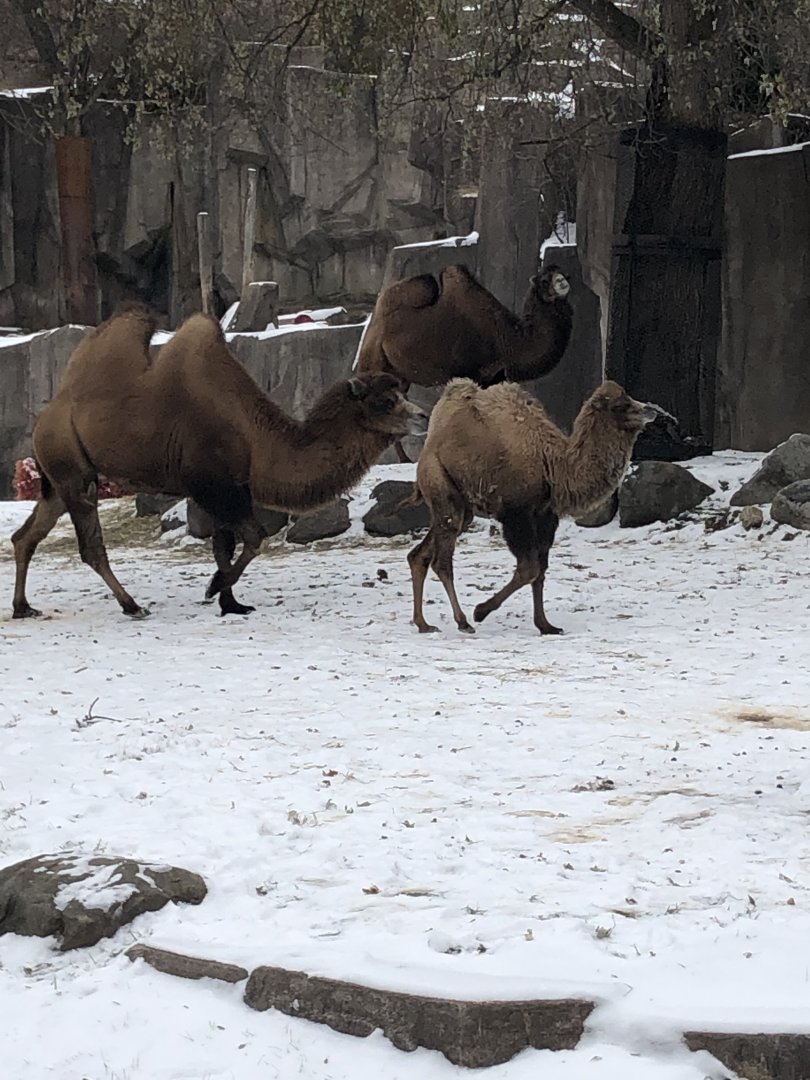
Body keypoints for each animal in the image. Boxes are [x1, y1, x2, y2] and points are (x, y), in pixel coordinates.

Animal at [11, 305, 426, 619]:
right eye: (384, 402)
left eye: (402, 394)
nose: (423, 416)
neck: (254, 435)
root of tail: (46, 417)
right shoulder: (212, 485)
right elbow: (254, 537)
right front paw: (215, 588)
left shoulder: (230, 485)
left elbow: (224, 545)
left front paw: (232, 603)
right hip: (73, 469)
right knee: (91, 545)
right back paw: (132, 606)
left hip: (58, 478)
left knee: (27, 535)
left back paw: (23, 607)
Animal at [356, 263, 573, 460]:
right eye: (544, 280)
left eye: (562, 272)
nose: (562, 282)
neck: (505, 338)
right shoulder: (468, 372)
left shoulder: (493, 376)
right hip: (375, 362)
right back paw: (404, 459)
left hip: (401, 376)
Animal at [407, 379, 657, 635]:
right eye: (620, 406)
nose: (651, 410)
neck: (554, 467)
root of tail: (429, 445)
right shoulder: (516, 514)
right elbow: (529, 569)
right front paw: (480, 611)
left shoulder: (545, 515)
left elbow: (541, 570)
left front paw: (546, 625)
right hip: (440, 483)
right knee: (442, 561)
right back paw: (463, 621)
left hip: (461, 505)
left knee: (419, 554)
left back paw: (423, 623)